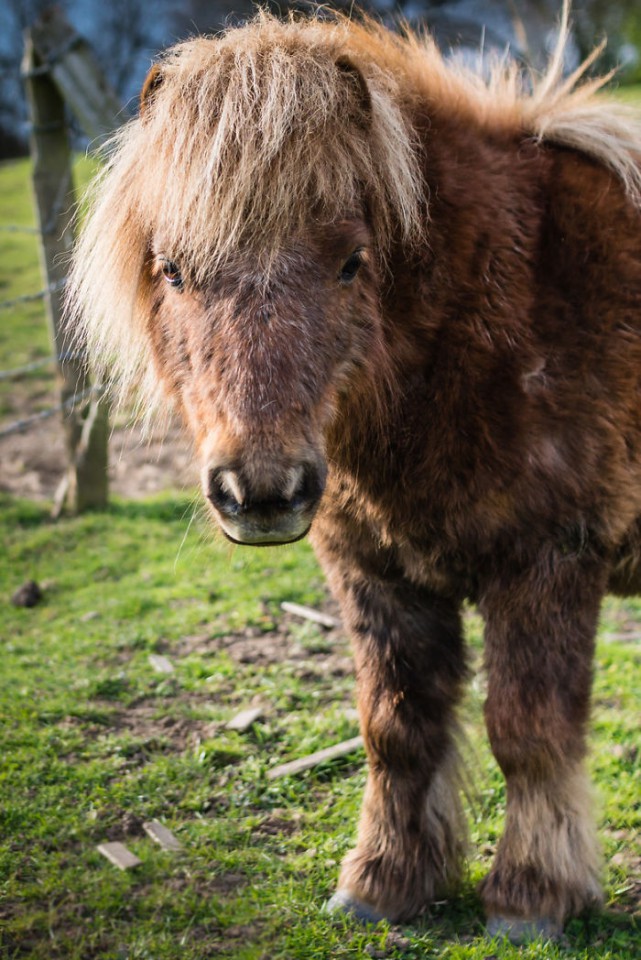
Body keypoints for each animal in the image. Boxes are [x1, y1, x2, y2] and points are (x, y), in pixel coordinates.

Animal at [67, 3, 640, 940]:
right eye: (173, 271)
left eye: (348, 263)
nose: (259, 490)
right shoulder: (374, 572)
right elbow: (395, 729)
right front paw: (384, 883)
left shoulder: (549, 560)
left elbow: (527, 730)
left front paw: (532, 897)